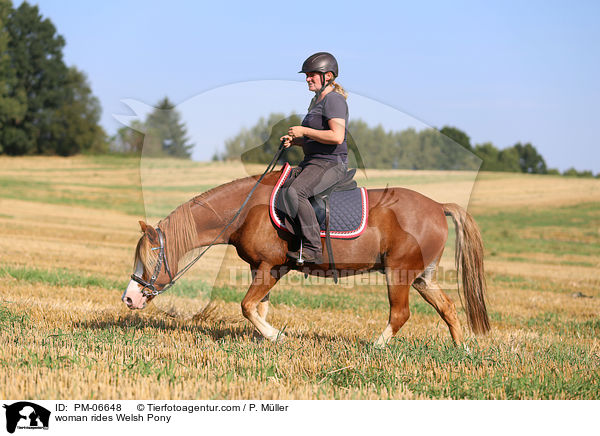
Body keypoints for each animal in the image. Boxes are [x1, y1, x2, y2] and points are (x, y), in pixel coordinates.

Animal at [122, 167, 488, 348]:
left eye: (149, 260)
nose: (129, 298)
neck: (247, 210)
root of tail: (438, 205)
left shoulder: (272, 267)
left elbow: (246, 306)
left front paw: (276, 336)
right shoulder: (260, 269)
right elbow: (258, 307)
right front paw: (265, 338)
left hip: (398, 273)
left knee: (400, 314)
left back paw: (376, 347)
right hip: (422, 277)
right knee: (448, 308)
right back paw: (462, 349)